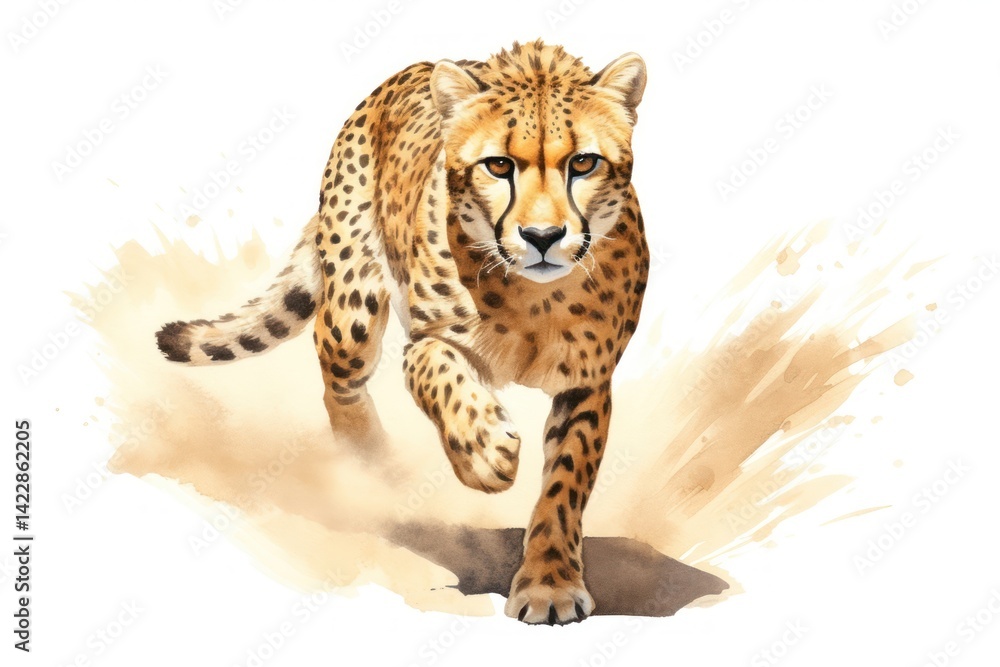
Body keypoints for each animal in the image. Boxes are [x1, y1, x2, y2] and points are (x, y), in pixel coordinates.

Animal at [156, 40, 649, 624]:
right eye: (498, 165)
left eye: (583, 162)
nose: (543, 236)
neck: (533, 298)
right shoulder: (428, 339)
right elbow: (440, 371)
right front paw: (484, 452)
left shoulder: (586, 382)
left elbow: (566, 483)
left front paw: (549, 582)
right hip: (353, 312)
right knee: (337, 380)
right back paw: (370, 465)